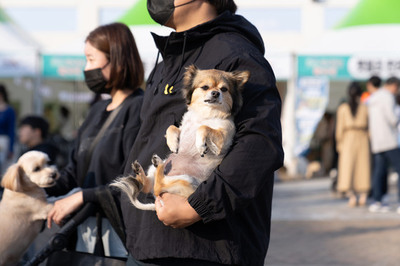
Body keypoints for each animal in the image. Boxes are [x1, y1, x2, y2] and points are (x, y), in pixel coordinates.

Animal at [112, 65, 248, 211]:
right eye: (205, 87)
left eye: (224, 89)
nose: (216, 93)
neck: (205, 114)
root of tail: (157, 201)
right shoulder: (182, 127)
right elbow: (171, 127)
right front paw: (173, 144)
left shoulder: (224, 135)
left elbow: (203, 128)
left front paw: (202, 145)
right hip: (163, 169)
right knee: (148, 185)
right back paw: (141, 170)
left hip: (187, 181)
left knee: (157, 186)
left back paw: (157, 166)